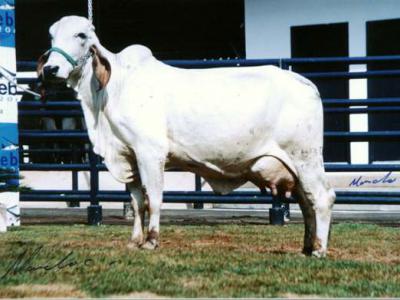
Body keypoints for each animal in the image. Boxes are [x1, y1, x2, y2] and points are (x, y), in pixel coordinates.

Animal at [39, 15, 336, 256]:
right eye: (51, 35)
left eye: (81, 35)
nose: (51, 69)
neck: (114, 89)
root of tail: (304, 82)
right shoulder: (128, 156)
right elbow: (136, 202)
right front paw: (134, 241)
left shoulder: (150, 153)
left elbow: (154, 198)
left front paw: (151, 241)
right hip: (295, 167)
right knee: (307, 202)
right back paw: (307, 246)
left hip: (305, 157)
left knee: (322, 197)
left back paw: (319, 249)